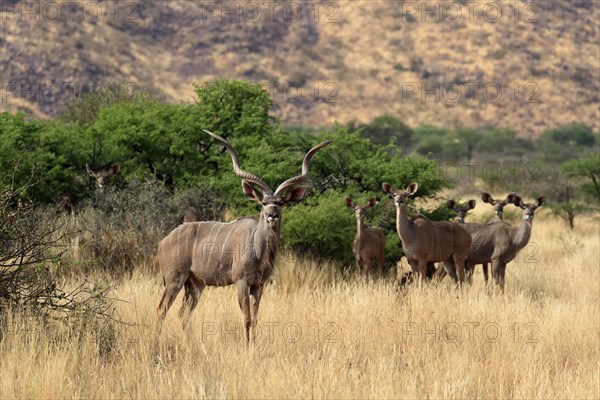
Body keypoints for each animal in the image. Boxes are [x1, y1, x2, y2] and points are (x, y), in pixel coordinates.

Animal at [157, 130, 330, 346]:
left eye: (281, 203)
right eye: (263, 203)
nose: (272, 215)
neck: (257, 247)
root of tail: (163, 242)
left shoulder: (258, 285)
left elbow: (255, 318)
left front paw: (254, 346)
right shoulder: (241, 282)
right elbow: (246, 318)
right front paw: (247, 348)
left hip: (195, 284)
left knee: (183, 313)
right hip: (175, 279)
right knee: (162, 309)